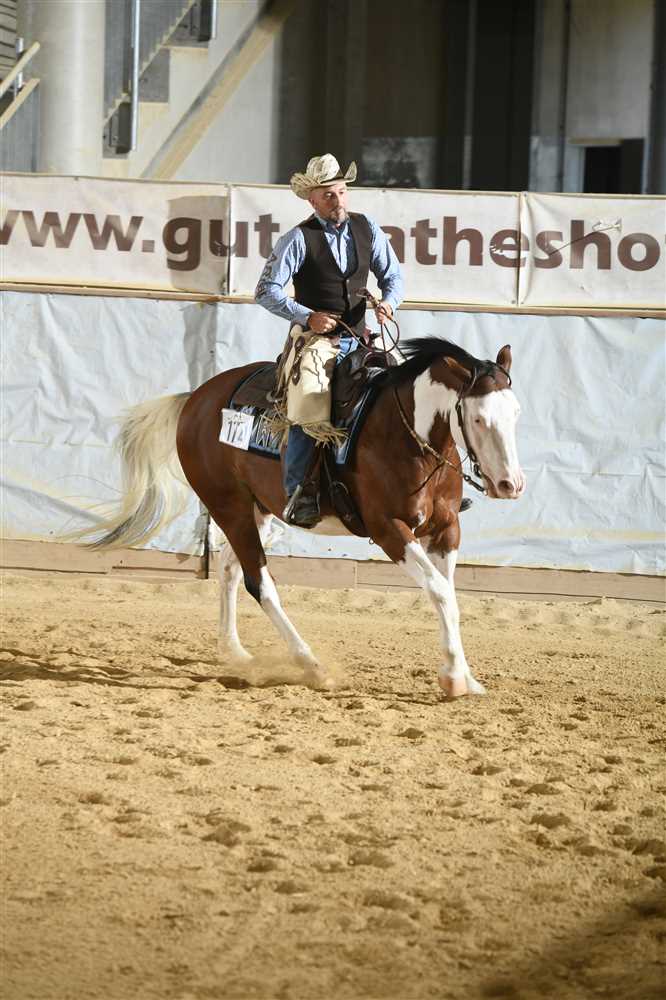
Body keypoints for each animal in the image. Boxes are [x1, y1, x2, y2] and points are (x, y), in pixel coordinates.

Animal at [78, 338, 525, 698]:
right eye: (479, 418)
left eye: (516, 413)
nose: (511, 484)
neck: (406, 437)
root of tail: (195, 399)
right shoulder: (389, 530)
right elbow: (439, 592)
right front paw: (453, 679)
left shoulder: (447, 529)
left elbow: (450, 595)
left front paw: (464, 675)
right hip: (229, 506)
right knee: (259, 583)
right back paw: (313, 666)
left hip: (257, 512)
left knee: (229, 568)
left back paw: (235, 651)